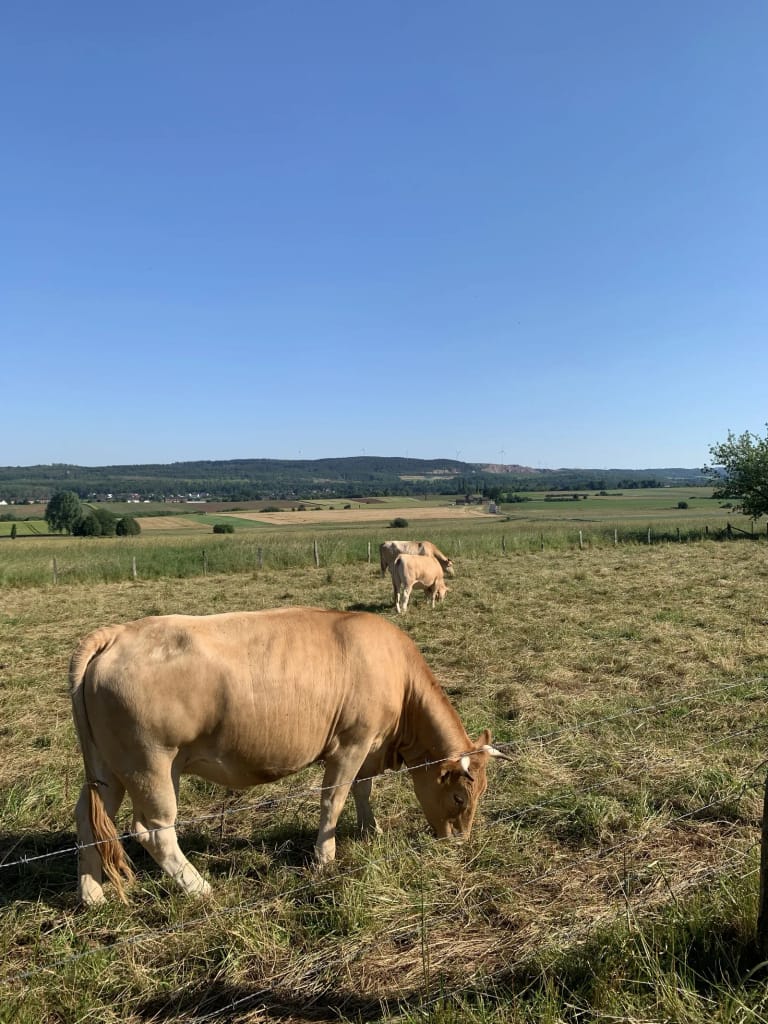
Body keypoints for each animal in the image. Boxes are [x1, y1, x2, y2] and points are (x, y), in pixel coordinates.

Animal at [69, 606, 507, 906]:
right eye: (459, 797)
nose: (460, 841)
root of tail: (117, 634)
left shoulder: (370, 746)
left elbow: (363, 790)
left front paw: (371, 831)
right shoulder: (351, 743)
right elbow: (334, 799)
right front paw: (325, 858)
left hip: (109, 768)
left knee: (90, 819)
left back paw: (92, 894)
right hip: (151, 764)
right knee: (154, 831)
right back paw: (200, 887)